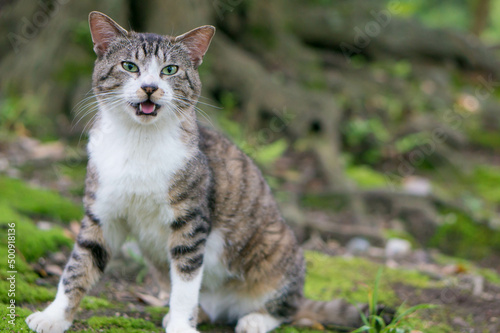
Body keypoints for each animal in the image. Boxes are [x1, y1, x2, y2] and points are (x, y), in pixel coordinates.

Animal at [25, 11, 390, 332]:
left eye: (170, 70)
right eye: (129, 66)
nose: (149, 87)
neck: (139, 141)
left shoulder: (191, 221)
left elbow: (186, 284)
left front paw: (182, 327)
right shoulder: (102, 213)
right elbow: (78, 265)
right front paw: (53, 317)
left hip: (279, 250)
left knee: (289, 308)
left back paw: (254, 320)